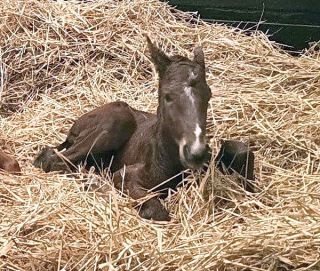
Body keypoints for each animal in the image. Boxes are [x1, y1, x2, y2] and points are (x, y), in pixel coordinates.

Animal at [33, 37, 211, 222]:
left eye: (208, 95)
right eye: (168, 96)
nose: (196, 153)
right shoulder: (124, 175)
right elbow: (158, 211)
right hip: (117, 121)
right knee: (53, 158)